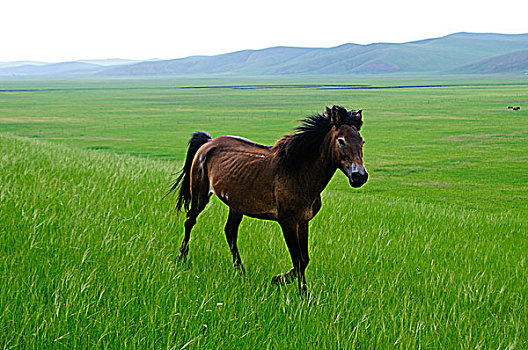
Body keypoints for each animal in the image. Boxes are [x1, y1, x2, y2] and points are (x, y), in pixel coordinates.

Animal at [168, 104, 368, 292]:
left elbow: (304, 259)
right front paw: (289, 287)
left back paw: (240, 270)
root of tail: (208, 142)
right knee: (190, 220)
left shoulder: (303, 221)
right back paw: (181, 257)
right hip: (201, 195)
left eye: (362, 141)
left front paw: (293, 287)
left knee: (230, 232)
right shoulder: (287, 222)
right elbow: (298, 260)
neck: (298, 173)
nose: (359, 176)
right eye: (341, 140)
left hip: (236, 205)